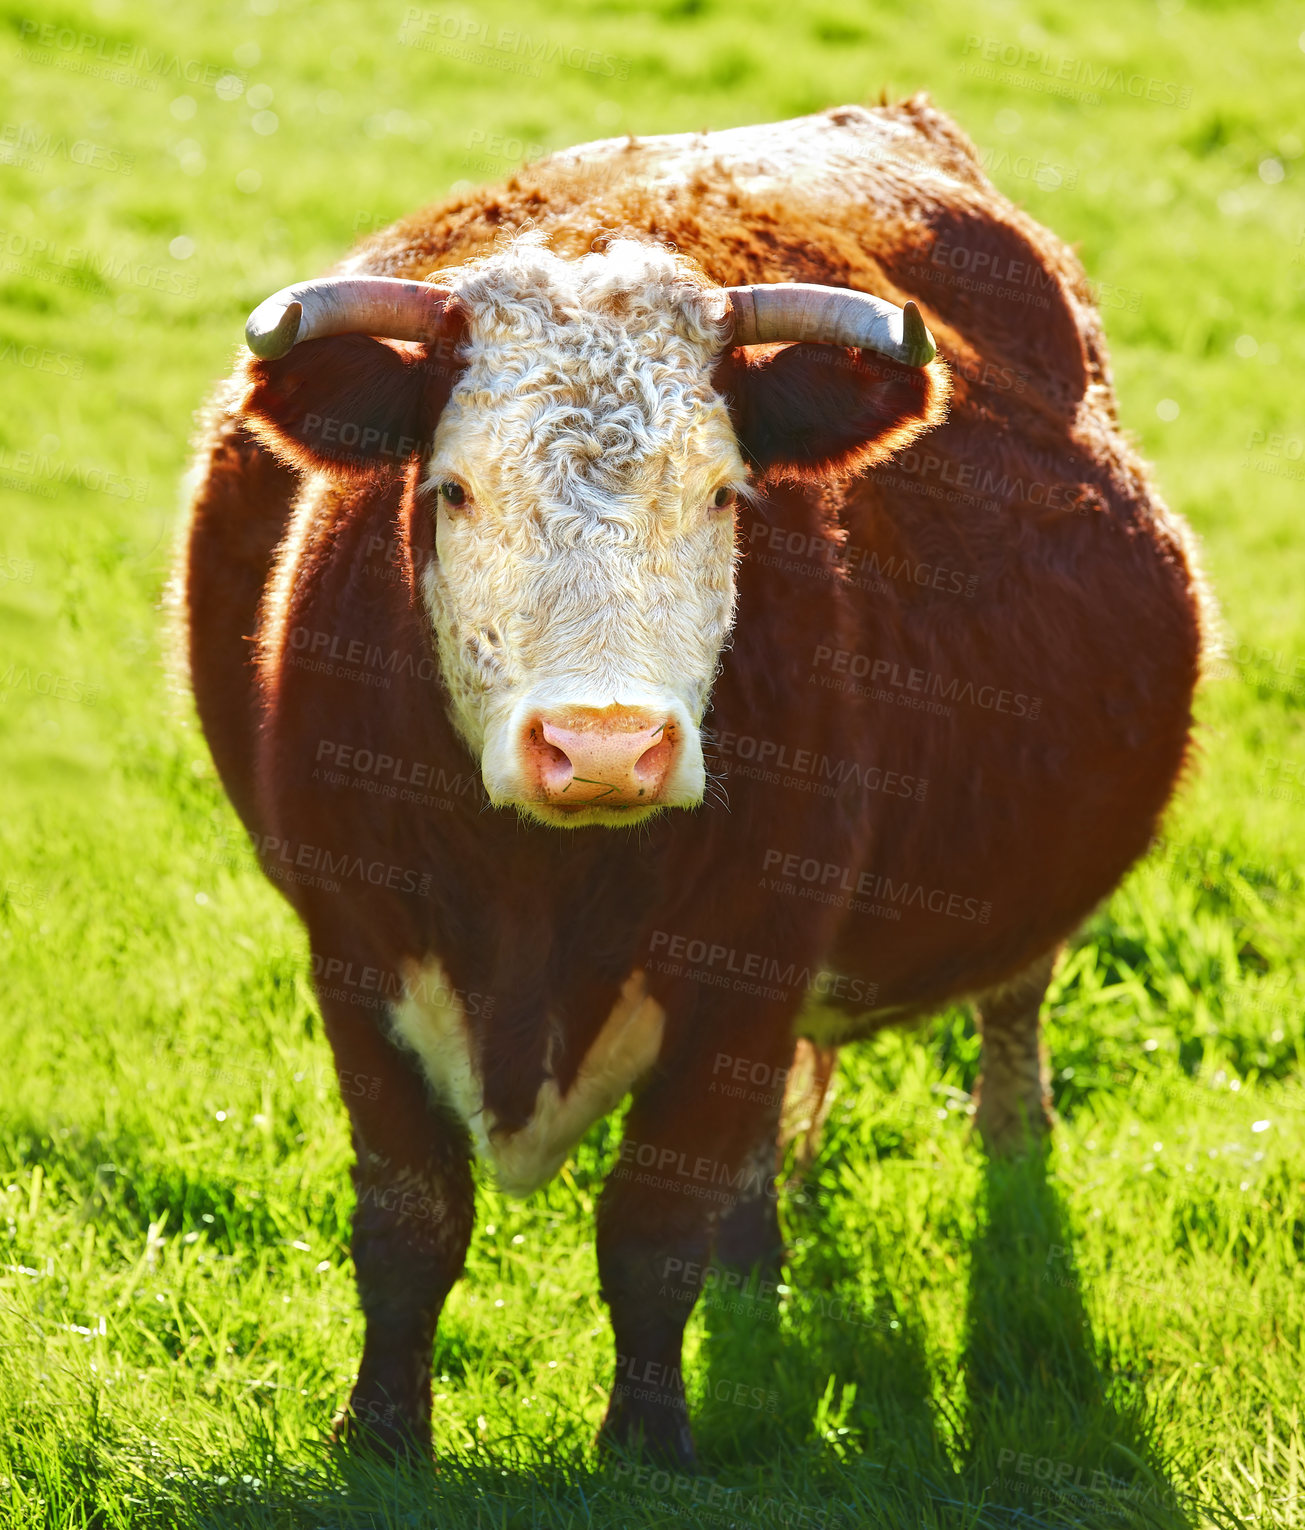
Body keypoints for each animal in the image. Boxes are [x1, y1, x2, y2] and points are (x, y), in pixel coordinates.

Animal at [182, 98, 1212, 1468]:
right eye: (453, 489)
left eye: (726, 495)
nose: (605, 745)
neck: (536, 895)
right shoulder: (351, 945)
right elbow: (410, 1220)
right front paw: (382, 1434)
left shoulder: (749, 962)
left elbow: (652, 1228)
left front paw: (647, 1447)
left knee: (1012, 1006)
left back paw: (1009, 1140)